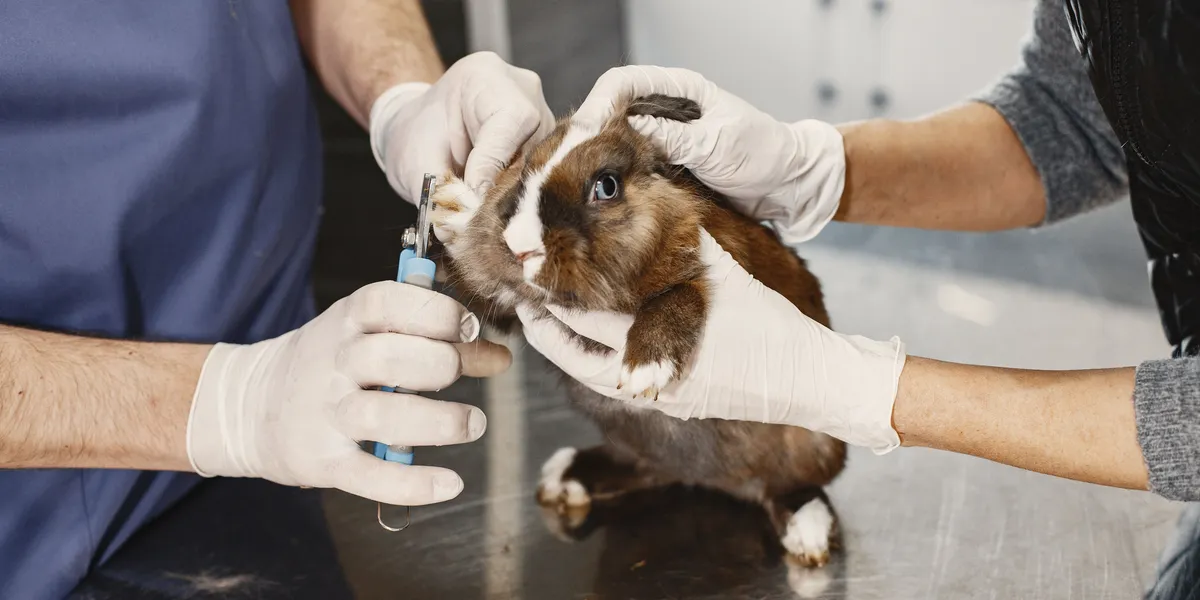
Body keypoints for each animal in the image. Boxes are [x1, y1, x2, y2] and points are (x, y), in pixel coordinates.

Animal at [428, 93, 847, 568]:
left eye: (606, 186)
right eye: (523, 172)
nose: (520, 246)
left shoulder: (712, 268)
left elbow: (681, 295)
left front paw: (645, 370)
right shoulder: (512, 309)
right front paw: (454, 208)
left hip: (813, 445)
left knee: (788, 488)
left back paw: (808, 533)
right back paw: (565, 477)